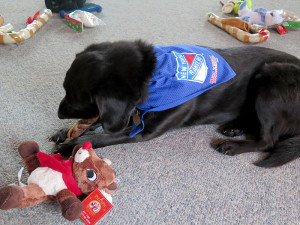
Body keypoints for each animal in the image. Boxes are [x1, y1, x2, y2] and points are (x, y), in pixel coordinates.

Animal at [51, 40, 300, 167]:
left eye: (75, 99)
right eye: (65, 91)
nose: (59, 113)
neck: (156, 75)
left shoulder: (144, 132)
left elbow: (102, 136)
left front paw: (70, 146)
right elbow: (95, 124)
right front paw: (65, 133)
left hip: (270, 79)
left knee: (269, 140)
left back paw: (233, 145)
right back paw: (234, 127)